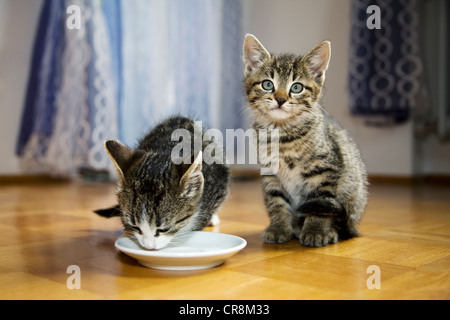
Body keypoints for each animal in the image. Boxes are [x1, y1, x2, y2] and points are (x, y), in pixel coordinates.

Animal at [244, 34, 368, 248]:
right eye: (268, 84)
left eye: (296, 87)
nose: (280, 99)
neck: (282, 134)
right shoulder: (270, 173)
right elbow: (276, 201)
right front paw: (279, 227)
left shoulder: (325, 170)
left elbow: (319, 202)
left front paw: (316, 230)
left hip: (352, 194)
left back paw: (327, 231)